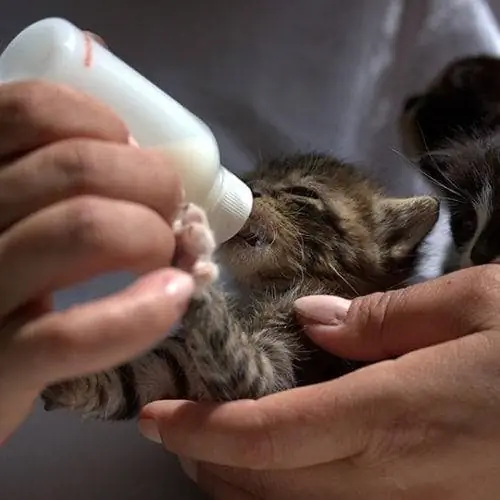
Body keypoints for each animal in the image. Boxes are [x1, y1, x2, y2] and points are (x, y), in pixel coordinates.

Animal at [41, 152, 438, 418]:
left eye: (302, 193)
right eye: (252, 179)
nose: (248, 188)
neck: (271, 286)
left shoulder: (275, 374)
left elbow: (234, 358)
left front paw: (193, 254)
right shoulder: (180, 366)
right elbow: (141, 375)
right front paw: (68, 378)